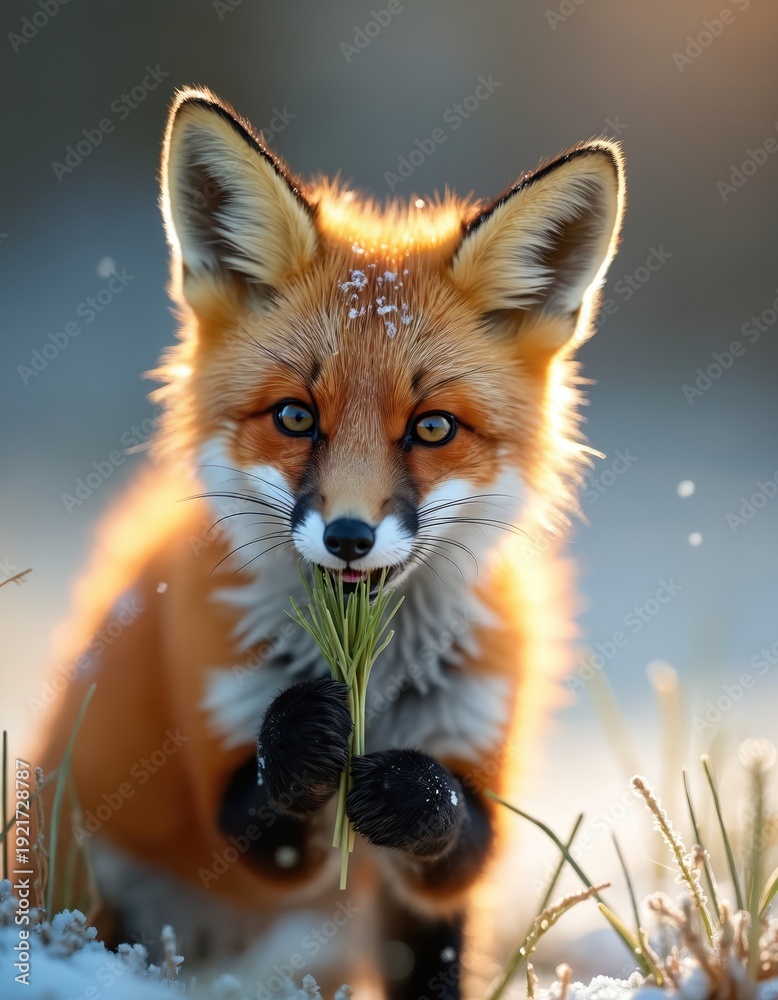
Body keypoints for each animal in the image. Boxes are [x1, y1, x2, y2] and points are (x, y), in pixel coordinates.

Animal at [31, 87, 625, 999]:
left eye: (433, 428)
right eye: (295, 416)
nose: (349, 537)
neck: (374, 677)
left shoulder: (470, 770)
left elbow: (450, 830)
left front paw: (404, 788)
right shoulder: (225, 725)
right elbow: (266, 797)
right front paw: (306, 730)